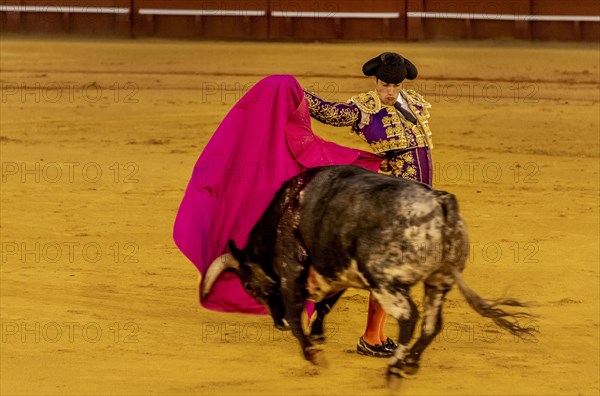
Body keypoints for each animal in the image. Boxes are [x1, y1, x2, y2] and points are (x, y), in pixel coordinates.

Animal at [202, 165, 536, 380]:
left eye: (250, 287)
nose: (277, 323)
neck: (284, 212)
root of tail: (442, 201)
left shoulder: (291, 269)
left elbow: (299, 318)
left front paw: (312, 352)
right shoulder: (335, 271)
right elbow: (324, 306)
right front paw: (319, 335)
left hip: (385, 279)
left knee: (409, 317)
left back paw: (396, 364)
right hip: (438, 281)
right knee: (431, 324)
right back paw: (409, 363)